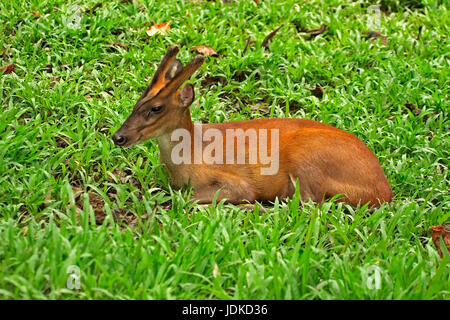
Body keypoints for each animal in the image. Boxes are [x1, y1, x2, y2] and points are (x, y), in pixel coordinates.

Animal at [113, 46, 394, 208]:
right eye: (137, 102)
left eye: (156, 108)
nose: (118, 137)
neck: (192, 154)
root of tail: (384, 192)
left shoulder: (237, 181)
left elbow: (187, 197)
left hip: (306, 155)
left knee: (308, 205)